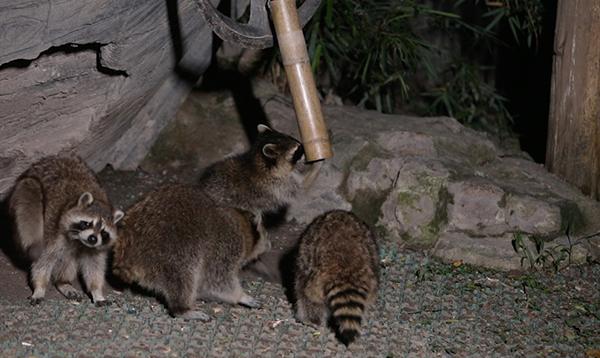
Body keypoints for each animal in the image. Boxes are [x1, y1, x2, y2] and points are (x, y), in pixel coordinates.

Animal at [7, 155, 124, 304]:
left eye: (104, 233)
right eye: (86, 224)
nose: (92, 238)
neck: (79, 241)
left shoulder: (96, 248)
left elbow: (94, 266)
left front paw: (97, 292)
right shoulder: (53, 232)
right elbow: (43, 260)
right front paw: (39, 287)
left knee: (69, 259)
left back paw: (63, 282)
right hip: (24, 191)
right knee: (29, 200)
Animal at [112, 183, 268, 320]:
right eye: (263, 234)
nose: (269, 244)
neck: (240, 223)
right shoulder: (225, 245)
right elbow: (217, 280)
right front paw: (241, 296)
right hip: (171, 253)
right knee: (183, 277)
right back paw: (182, 309)